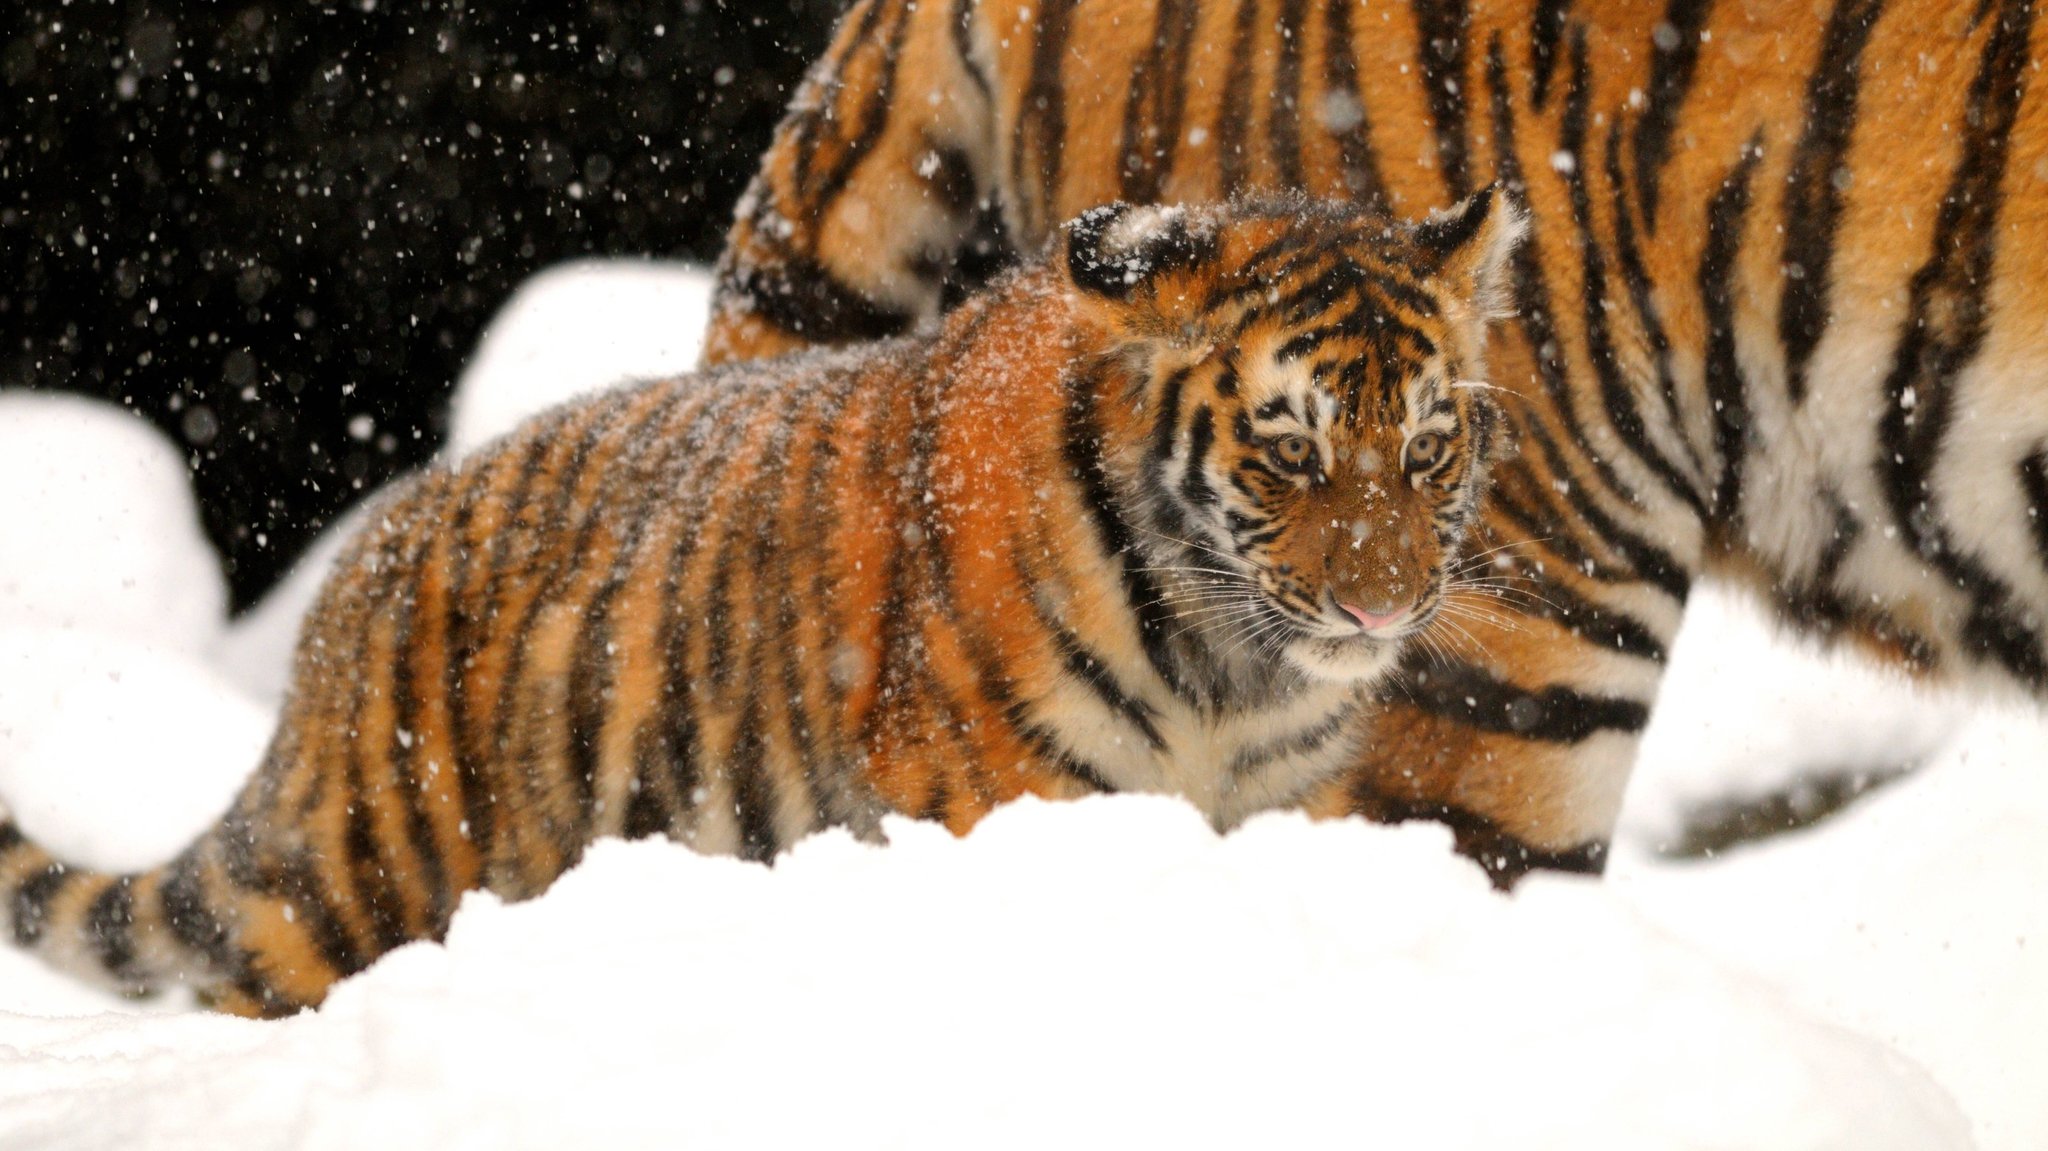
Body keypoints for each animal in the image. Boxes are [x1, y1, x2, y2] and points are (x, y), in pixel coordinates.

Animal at [0, 192, 1507, 1007]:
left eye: (1428, 447)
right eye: (1291, 447)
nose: (1381, 611)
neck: (1227, 671)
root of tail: (353, 579)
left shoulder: (1283, 807)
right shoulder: (995, 802)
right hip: (356, 879)